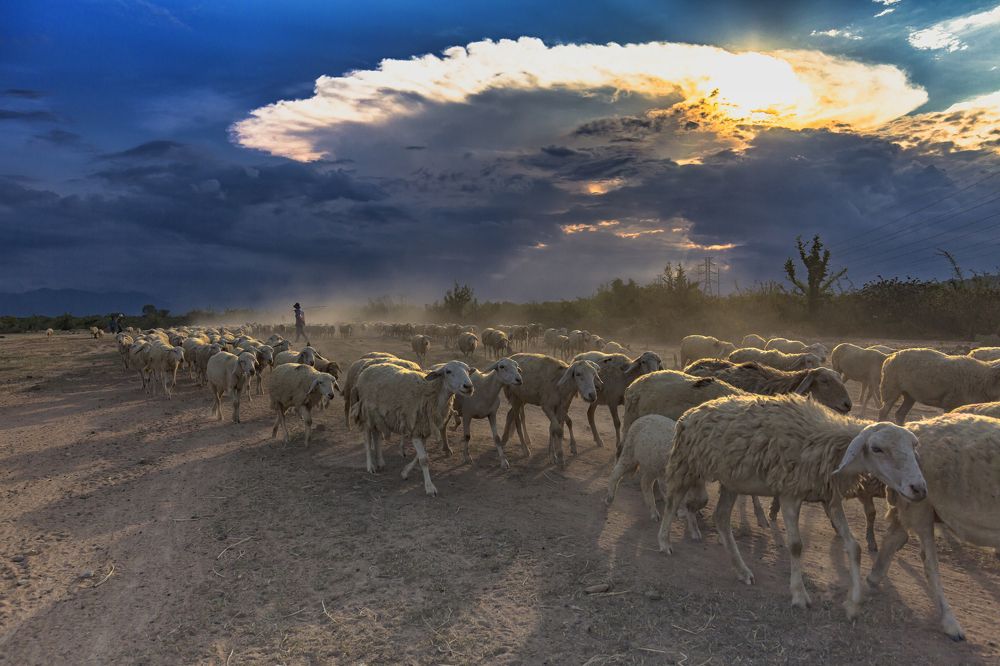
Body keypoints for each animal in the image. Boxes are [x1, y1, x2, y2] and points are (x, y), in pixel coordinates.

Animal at [350, 360, 473, 496]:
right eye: (448, 371)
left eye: (468, 370)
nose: (468, 386)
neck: (431, 394)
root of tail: (367, 369)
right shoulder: (416, 430)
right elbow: (424, 459)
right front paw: (429, 487)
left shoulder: (423, 429)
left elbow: (420, 456)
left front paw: (405, 472)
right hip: (365, 412)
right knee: (367, 440)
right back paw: (370, 466)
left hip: (376, 416)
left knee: (376, 435)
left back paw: (381, 462)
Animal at [658, 393, 926, 621]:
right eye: (877, 448)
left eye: (914, 447)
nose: (919, 489)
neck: (828, 443)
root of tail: (692, 412)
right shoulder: (789, 494)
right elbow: (796, 546)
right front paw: (799, 595)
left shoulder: (830, 498)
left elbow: (854, 546)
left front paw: (854, 603)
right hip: (686, 463)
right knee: (672, 502)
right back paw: (664, 543)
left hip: (731, 480)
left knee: (721, 518)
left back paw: (742, 571)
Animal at [866, 413, 1000, 641]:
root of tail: (916, 426)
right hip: (920, 503)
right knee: (929, 563)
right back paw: (950, 622)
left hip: (913, 499)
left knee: (895, 536)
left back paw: (874, 577)